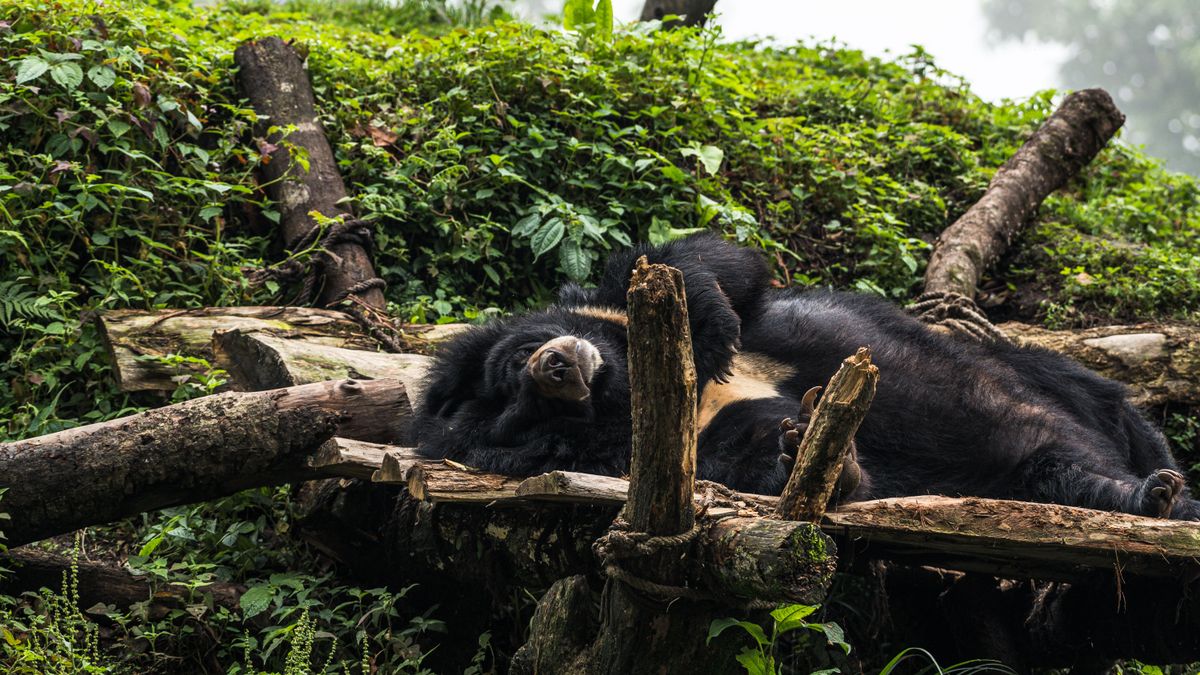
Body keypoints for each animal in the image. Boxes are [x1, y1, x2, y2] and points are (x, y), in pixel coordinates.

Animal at [415, 234, 1200, 516]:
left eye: (514, 366)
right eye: (525, 410)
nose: (556, 366)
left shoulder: (614, 309)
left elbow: (706, 265)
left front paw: (713, 329)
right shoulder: (693, 436)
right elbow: (753, 451)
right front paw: (815, 456)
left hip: (1044, 375)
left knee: (1106, 404)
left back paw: (1164, 484)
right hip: (1026, 468)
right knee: (1064, 473)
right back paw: (1149, 496)